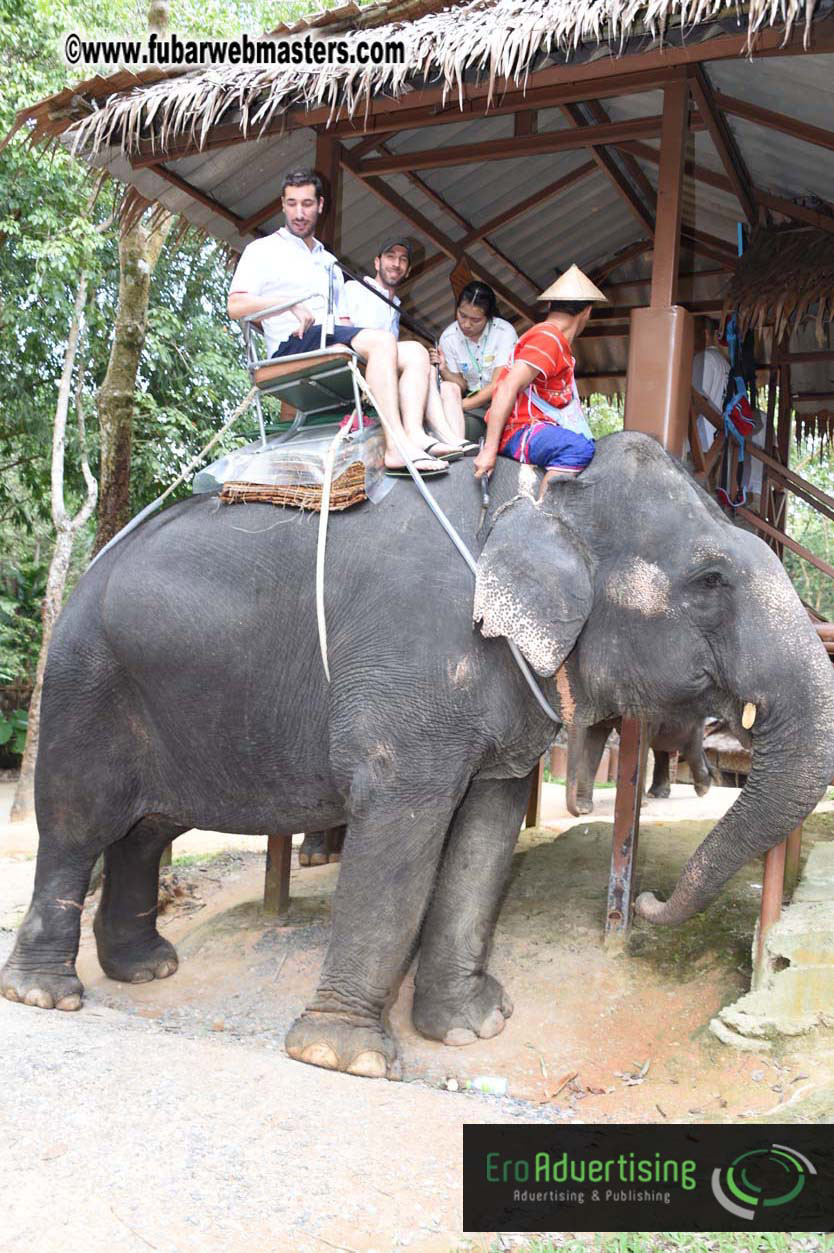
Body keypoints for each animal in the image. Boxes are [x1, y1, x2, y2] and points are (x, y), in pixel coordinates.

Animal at [565, 716, 719, 816]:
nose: (576, 813)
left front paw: (639, 805)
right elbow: (593, 738)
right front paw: (583, 808)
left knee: (690, 748)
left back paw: (703, 788)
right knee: (661, 747)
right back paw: (657, 794)